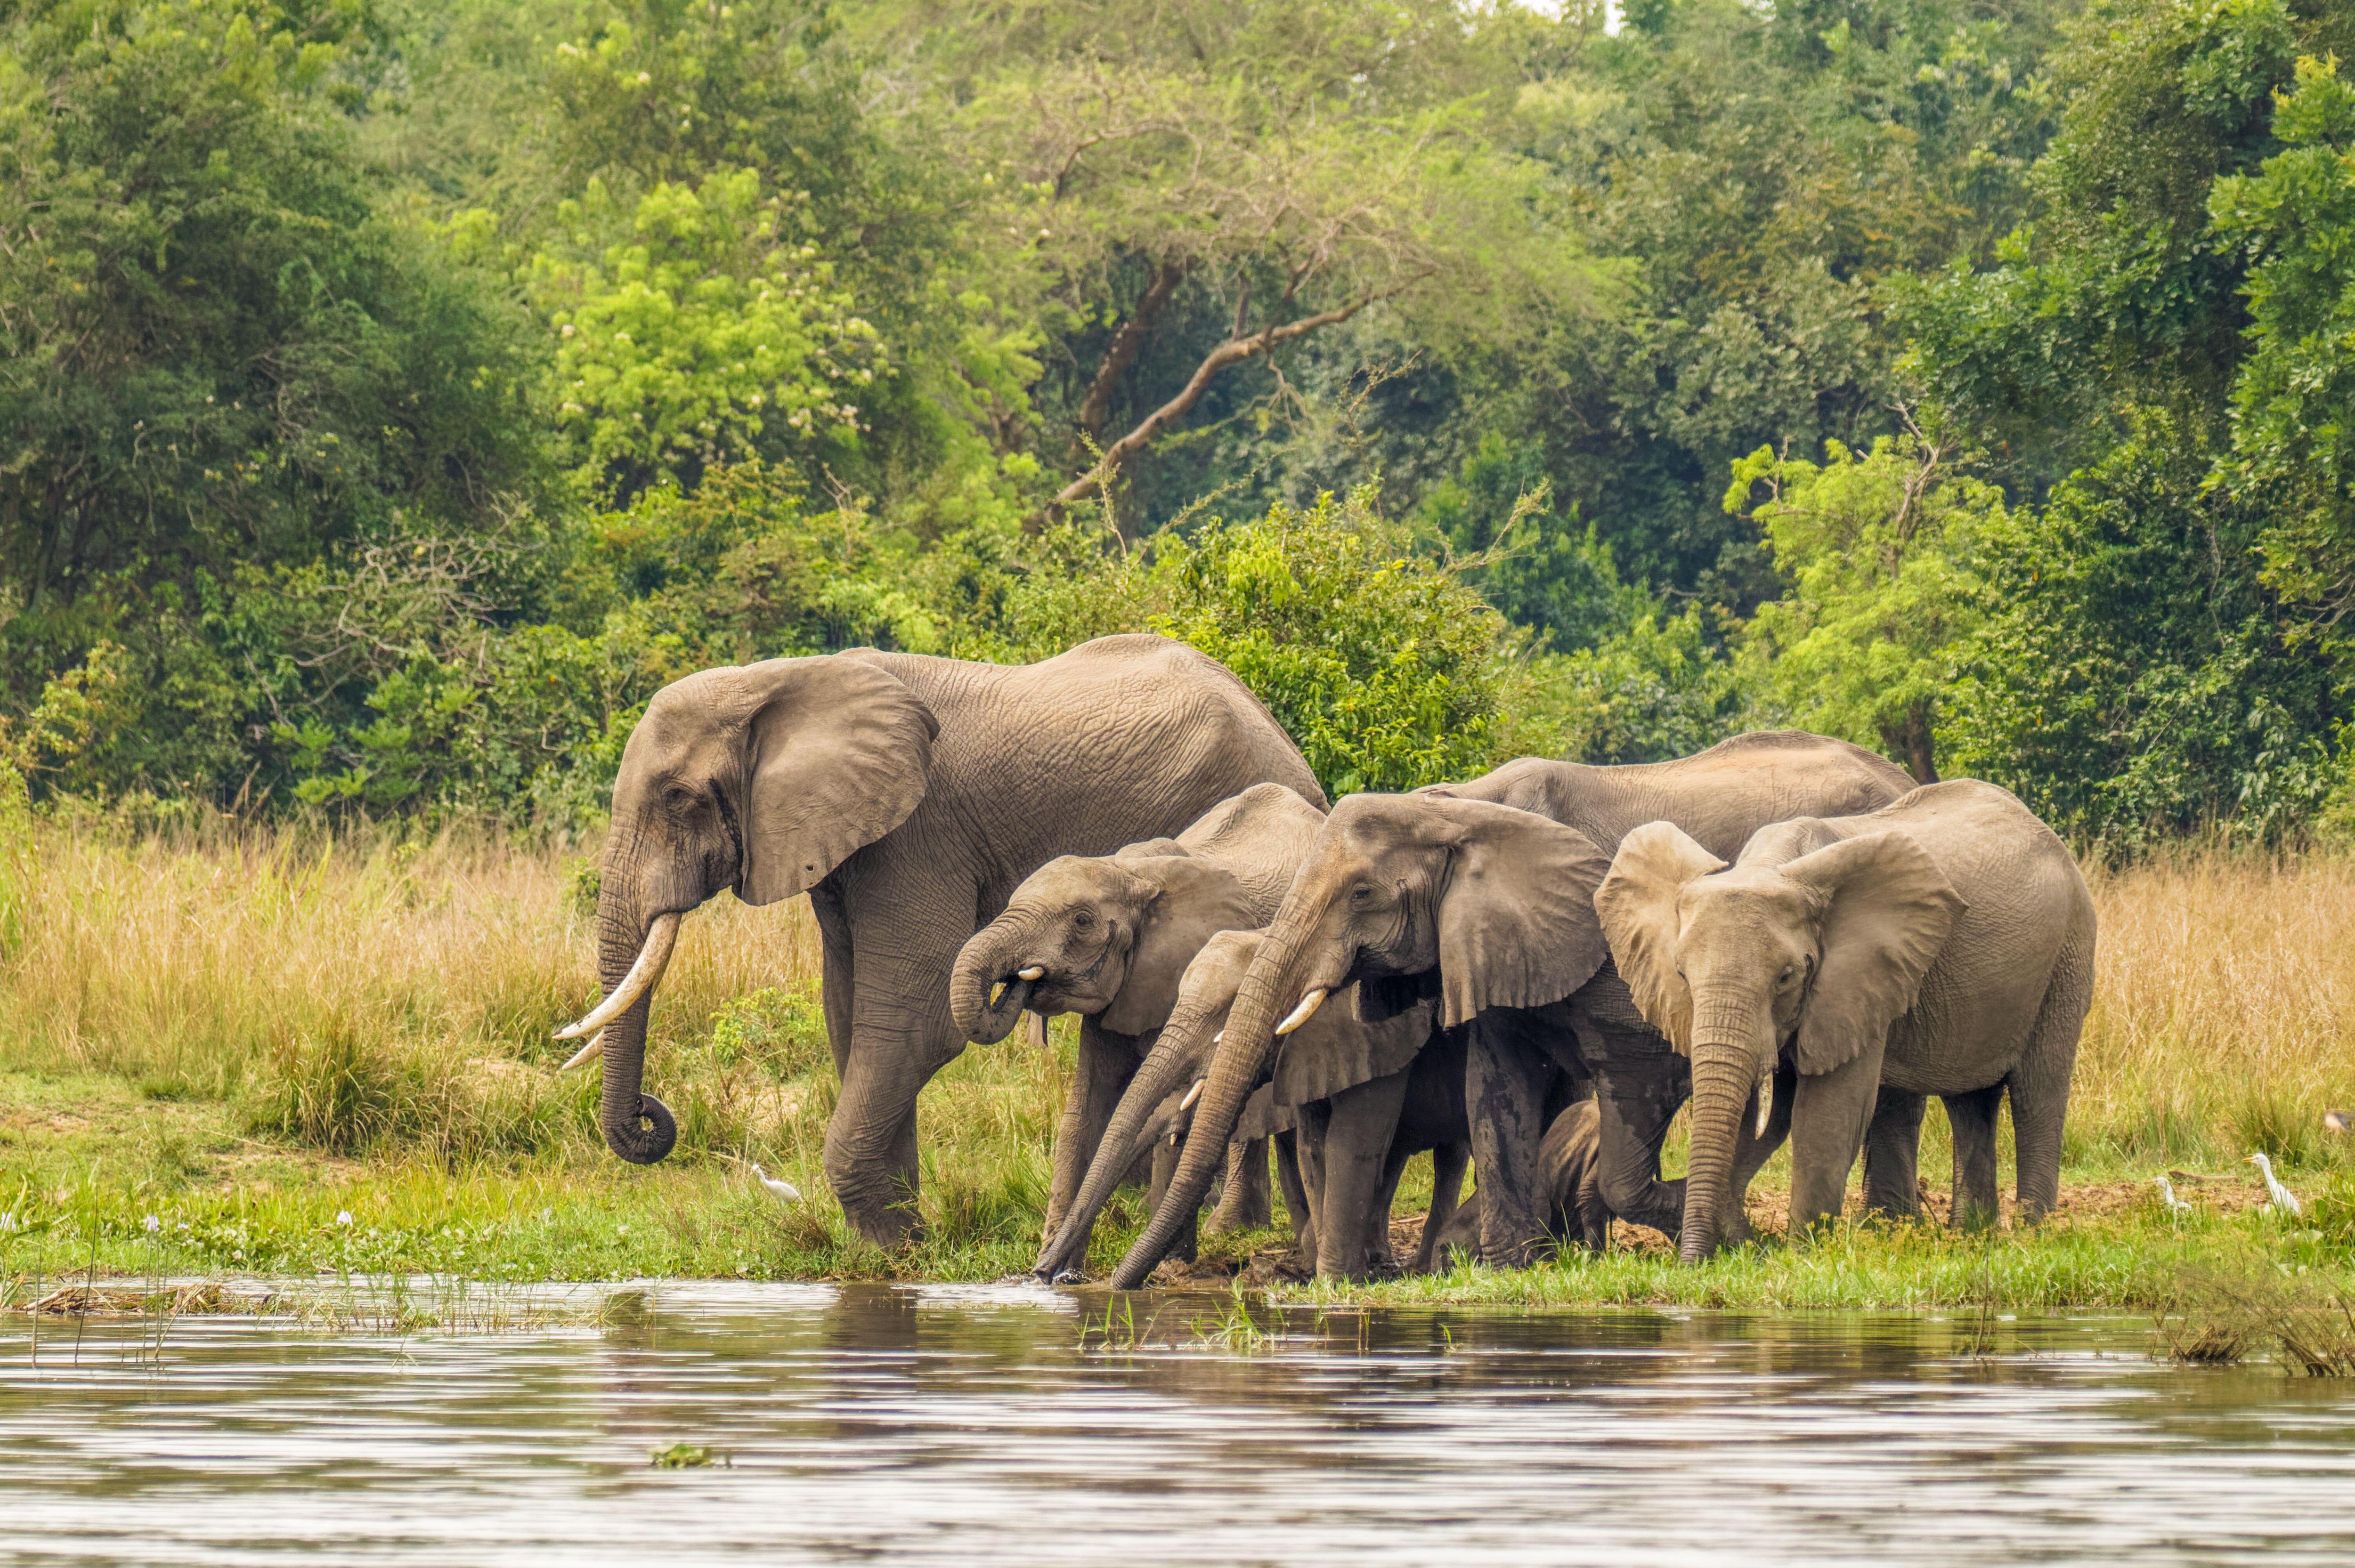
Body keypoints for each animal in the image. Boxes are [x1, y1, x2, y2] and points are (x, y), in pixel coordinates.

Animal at [951, 777, 1338, 1234]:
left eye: (1082, 921)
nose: (1019, 981)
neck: (1130, 873)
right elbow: (1085, 1109)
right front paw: (1052, 1251)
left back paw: (1228, 1228)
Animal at [1102, 735, 1912, 1281]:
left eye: (1361, 894)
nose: (1105, 1284)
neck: (1458, 810)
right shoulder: (1491, 943)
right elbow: (1496, 1086)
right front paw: (1512, 1264)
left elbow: (1630, 1081)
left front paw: (1708, 1227)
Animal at [1601, 772, 2101, 1262]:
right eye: (1682, 974)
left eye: (1787, 977)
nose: (1695, 1263)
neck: (1774, 866)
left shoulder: (1856, 975)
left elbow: (1827, 1111)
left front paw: (1803, 1255)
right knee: (1968, 1101)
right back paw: (1965, 1237)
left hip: (2069, 954)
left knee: (2037, 1092)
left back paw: (2032, 1235)